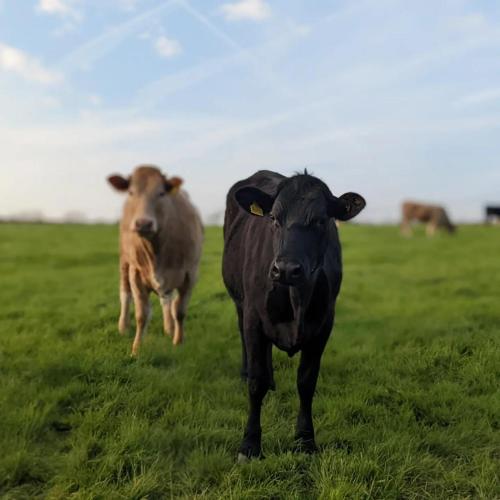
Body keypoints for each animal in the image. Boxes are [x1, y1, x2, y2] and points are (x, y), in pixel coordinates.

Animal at [108, 166, 204, 354]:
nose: (143, 223)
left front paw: (178, 341)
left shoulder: (190, 274)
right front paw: (136, 349)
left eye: (161, 193)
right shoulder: (136, 272)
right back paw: (123, 326)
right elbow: (142, 314)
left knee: (167, 300)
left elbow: (179, 310)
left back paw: (169, 328)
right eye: (131, 192)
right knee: (125, 293)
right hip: (124, 262)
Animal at [224, 171, 368, 460]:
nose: (286, 269)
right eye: (273, 218)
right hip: (240, 304)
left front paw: (305, 439)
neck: (296, 301)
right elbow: (255, 383)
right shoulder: (254, 318)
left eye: (321, 220)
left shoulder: (323, 325)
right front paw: (250, 444)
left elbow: (306, 382)